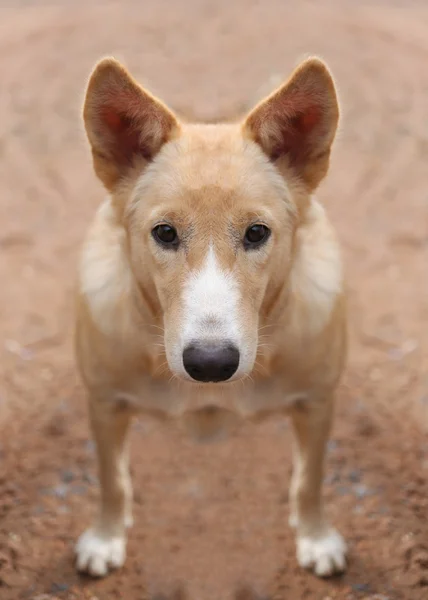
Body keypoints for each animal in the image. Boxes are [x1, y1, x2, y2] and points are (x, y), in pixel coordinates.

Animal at [73, 56, 348, 580]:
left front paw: (316, 538)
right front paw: (105, 538)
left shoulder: (318, 403)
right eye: (164, 233)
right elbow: (111, 479)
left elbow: (311, 479)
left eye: (257, 233)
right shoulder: (104, 403)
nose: (211, 365)